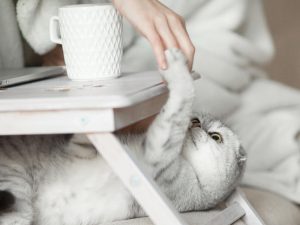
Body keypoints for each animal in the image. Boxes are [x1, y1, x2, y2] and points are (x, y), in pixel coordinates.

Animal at [0, 49, 246, 225]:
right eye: (195, 120)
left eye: (216, 137)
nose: (194, 126)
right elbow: (81, 142)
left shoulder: (159, 161)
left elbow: (178, 106)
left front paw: (177, 67)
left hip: (18, 201)